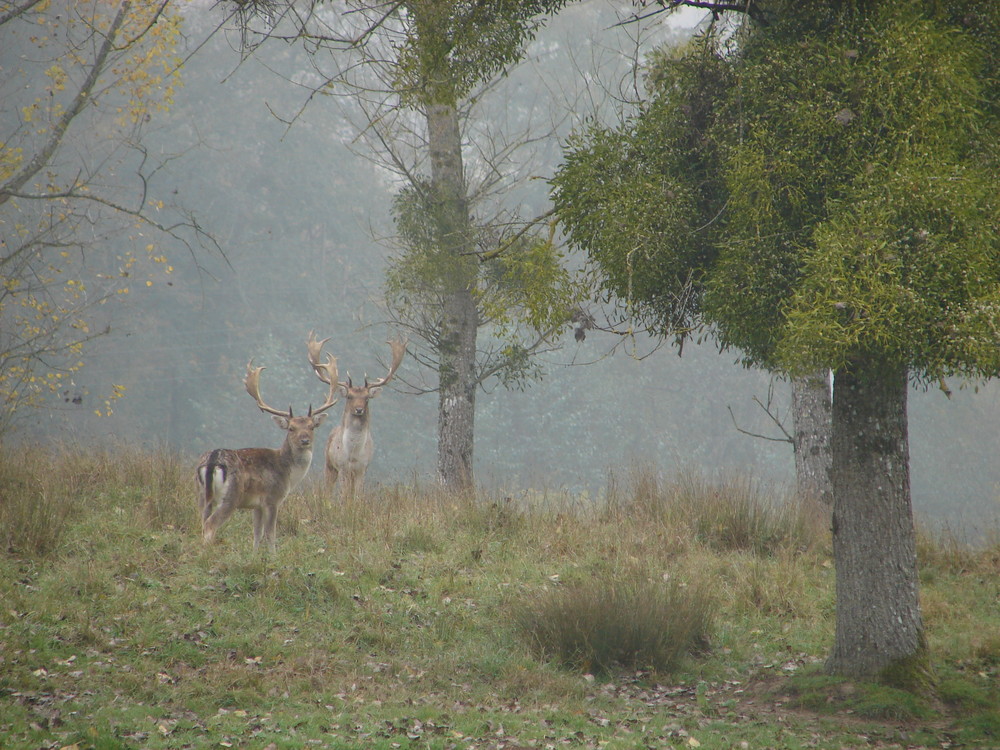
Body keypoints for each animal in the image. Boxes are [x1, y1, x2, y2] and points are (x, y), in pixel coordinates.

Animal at [195, 346, 340, 552]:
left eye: (312, 426)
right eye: (291, 428)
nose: (304, 440)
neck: (288, 474)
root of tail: (212, 461)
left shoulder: (256, 505)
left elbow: (257, 534)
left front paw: (255, 555)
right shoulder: (272, 498)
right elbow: (271, 534)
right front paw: (273, 555)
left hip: (201, 494)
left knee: (202, 521)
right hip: (230, 496)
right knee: (210, 525)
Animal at [304, 332, 406, 502]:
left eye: (367, 398)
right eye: (349, 396)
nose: (359, 409)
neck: (353, 454)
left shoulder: (362, 468)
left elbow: (358, 496)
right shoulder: (342, 466)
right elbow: (344, 495)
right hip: (329, 464)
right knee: (328, 489)